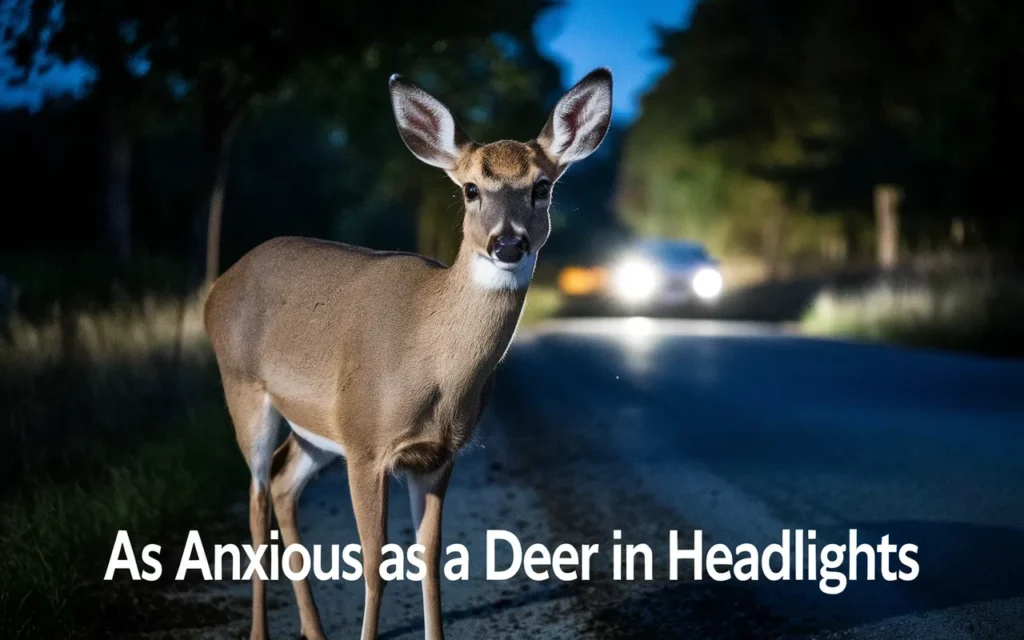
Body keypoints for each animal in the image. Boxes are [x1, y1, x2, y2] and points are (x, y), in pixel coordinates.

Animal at [203, 67, 612, 640]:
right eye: (470, 189)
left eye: (542, 187)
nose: (508, 244)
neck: (431, 364)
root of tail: (216, 289)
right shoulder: (366, 445)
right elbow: (375, 566)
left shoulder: (437, 455)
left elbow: (430, 560)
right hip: (244, 390)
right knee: (257, 500)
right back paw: (262, 632)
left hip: (315, 428)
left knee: (283, 486)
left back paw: (314, 630)